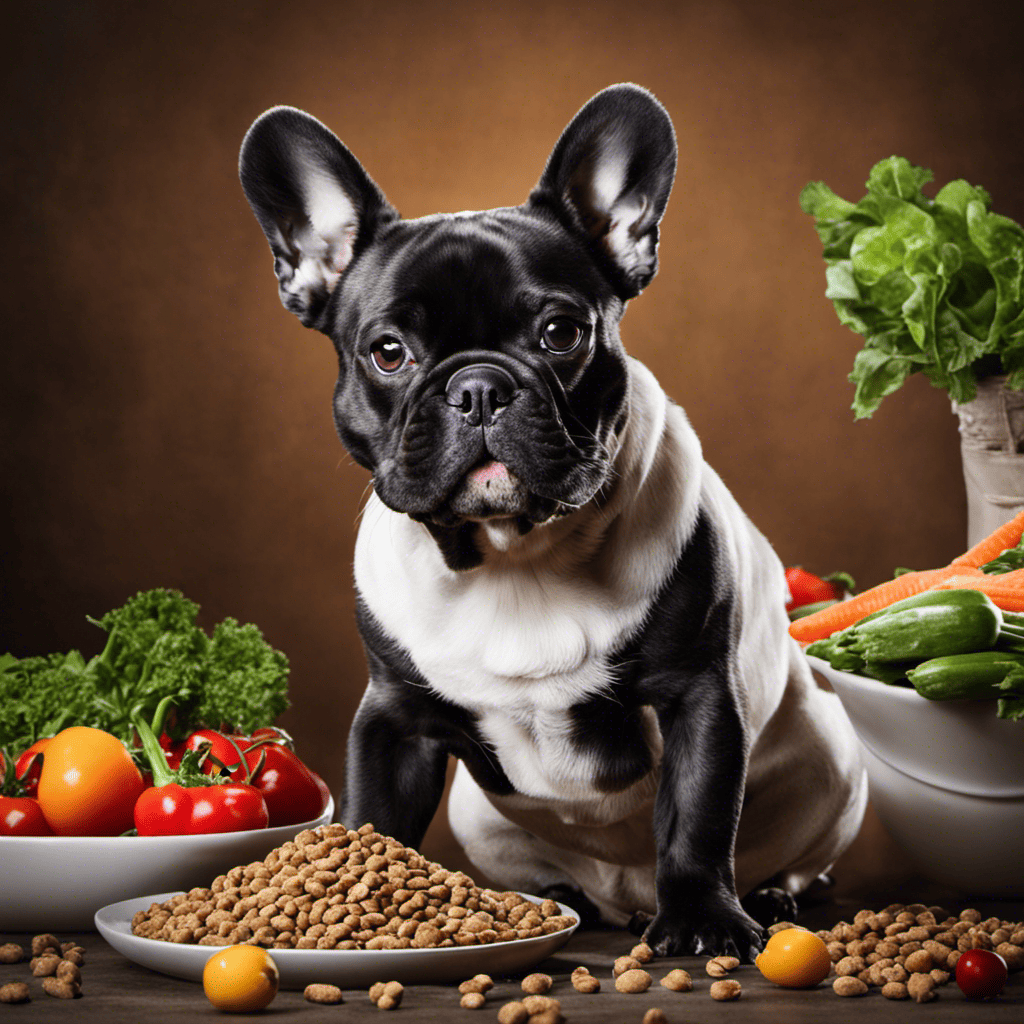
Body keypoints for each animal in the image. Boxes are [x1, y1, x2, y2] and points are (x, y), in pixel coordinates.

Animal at [237, 81, 864, 958]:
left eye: (561, 334)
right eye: (389, 352)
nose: (478, 386)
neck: (514, 556)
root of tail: (622, 894)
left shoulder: (701, 695)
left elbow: (700, 813)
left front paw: (703, 919)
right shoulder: (394, 718)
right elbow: (374, 818)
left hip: (834, 763)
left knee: (793, 850)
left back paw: (773, 894)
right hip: (480, 816)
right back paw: (559, 896)